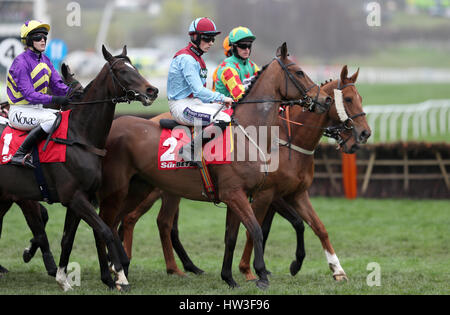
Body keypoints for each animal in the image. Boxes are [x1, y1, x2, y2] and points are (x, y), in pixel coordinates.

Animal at [0, 45, 158, 292]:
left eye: (135, 67)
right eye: (122, 70)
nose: (152, 90)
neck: (79, 137)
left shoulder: (78, 198)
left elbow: (68, 239)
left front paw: (63, 279)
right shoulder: (73, 197)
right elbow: (104, 231)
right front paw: (120, 276)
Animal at [95, 42, 332, 292]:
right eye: (299, 72)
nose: (326, 100)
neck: (247, 134)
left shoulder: (238, 196)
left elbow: (232, 237)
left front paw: (229, 277)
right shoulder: (236, 194)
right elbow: (256, 230)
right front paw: (261, 274)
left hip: (138, 188)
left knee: (114, 224)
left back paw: (120, 270)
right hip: (119, 190)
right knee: (109, 224)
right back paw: (118, 272)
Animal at [117, 65, 372, 286]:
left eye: (360, 97)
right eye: (348, 99)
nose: (364, 134)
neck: (284, 142)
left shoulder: (295, 193)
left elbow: (316, 227)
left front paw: (336, 270)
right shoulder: (267, 195)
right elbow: (262, 229)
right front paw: (250, 270)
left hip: (170, 190)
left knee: (164, 223)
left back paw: (182, 267)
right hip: (152, 189)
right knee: (133, 219)